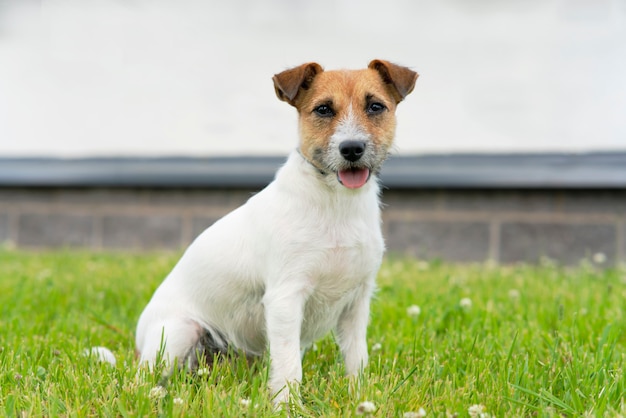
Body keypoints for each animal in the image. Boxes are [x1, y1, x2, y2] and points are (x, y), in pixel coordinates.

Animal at [135, 59, 416, 404]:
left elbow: (356, 357)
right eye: (323, 109)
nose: (352, 148)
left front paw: (358, 396)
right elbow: (288, 363)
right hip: (179, 331)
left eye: (376, 106)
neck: (336, 203)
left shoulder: (356, 302)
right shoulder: (286, 298)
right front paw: (288, 404)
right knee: (144, 376)